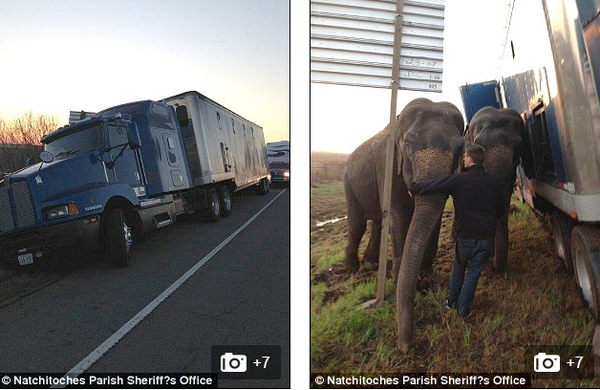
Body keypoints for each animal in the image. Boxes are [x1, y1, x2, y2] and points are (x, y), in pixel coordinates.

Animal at [342, 96, 464, 350]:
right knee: (358, 224)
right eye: (407, 146)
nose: (404, 346)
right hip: (348, 182)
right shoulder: (387, 165)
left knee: (377, 221)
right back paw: (353, 269)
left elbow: (434, 215)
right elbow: (398, 216)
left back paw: (369, 263)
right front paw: (399, 279)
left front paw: (425, 276)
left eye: (460, 149)